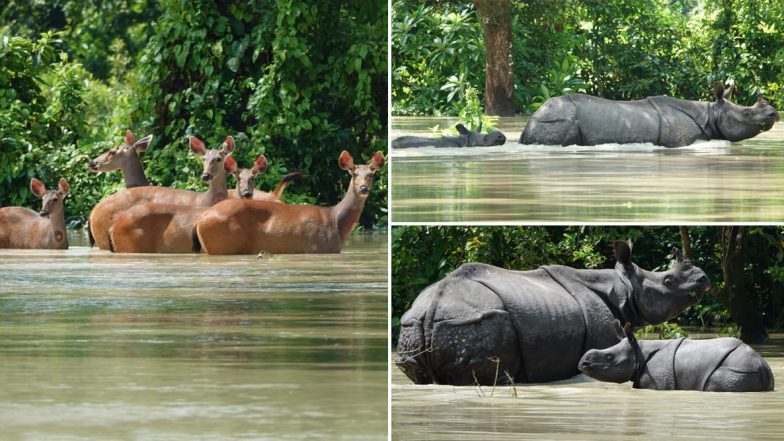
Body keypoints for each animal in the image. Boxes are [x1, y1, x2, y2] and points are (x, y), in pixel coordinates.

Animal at [395, 241, 711, 385]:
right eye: (668, 281)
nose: (703, 279)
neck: (624, 287)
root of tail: (433, 305)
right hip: (473, 320)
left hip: (417, 322)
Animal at [579, 321, 774, 392]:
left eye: (610, 358)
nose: (583, 363)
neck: (639, 351)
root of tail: (761, 365)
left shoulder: (658, 381)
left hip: (738, 370)